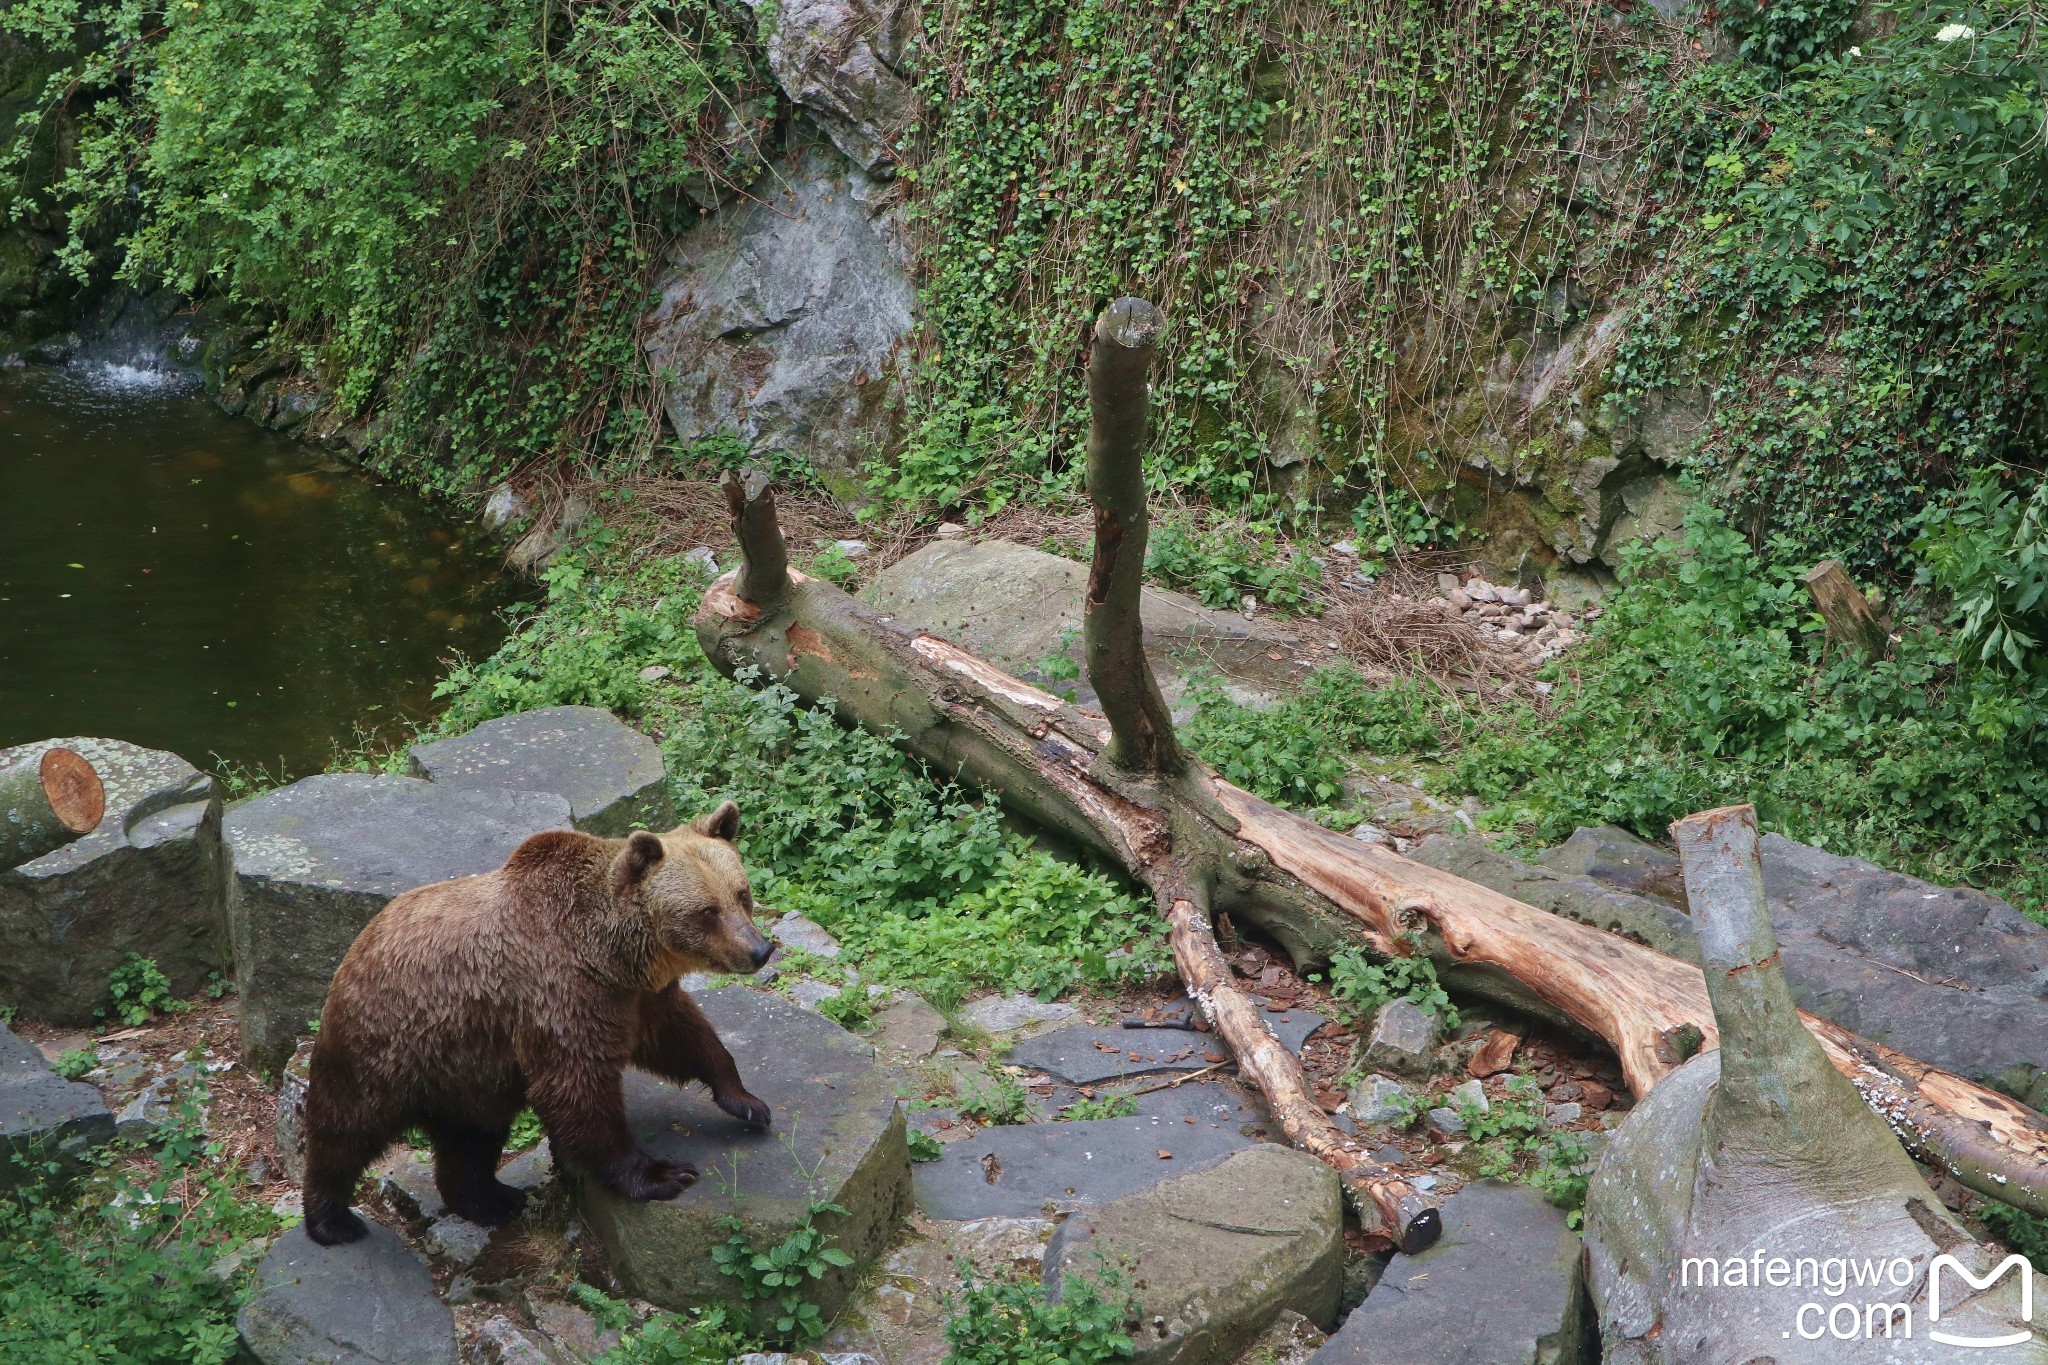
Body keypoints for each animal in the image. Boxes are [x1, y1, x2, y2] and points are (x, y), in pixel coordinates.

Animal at [288, 802, 770, 1252]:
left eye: (742, 894)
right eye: (706, 911)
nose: (759, 950)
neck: (608, 954)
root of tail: (357, 943)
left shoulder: (637, 997)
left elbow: (682, 1036)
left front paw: (746, 1101)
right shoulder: (559, 994)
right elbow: (577, 1086)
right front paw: (662, 1173)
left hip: (466, 1069)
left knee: (471, 1138)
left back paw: (491, 1199)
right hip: (386, 1041)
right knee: (347, 1128)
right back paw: (332, 1220)